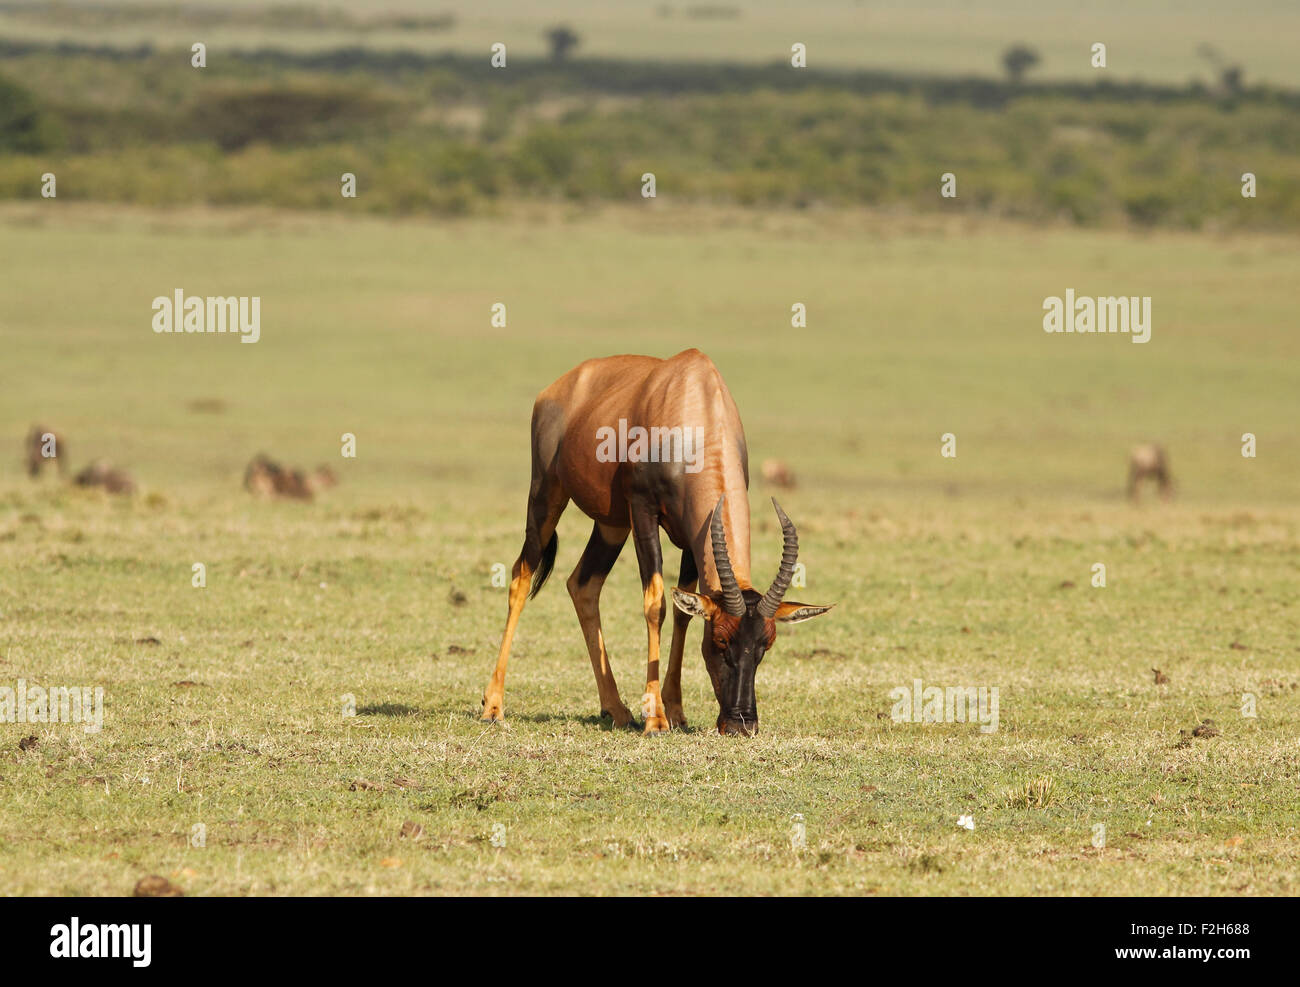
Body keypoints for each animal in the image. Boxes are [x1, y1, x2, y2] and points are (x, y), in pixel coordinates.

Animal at [480, 351, 832, 738]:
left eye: (765, 644)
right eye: (721, 639)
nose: (741, 724)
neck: (692, 400)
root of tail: (557, 387)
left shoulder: (694, 537)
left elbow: (683, 613)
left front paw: (676, 712)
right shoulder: (643, 512)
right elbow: (656, 604)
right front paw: (656, 720)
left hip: (611, 524)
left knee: (583, 584)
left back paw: (617, 710)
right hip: (547, 495)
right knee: (520, 577)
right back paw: (493, 707)